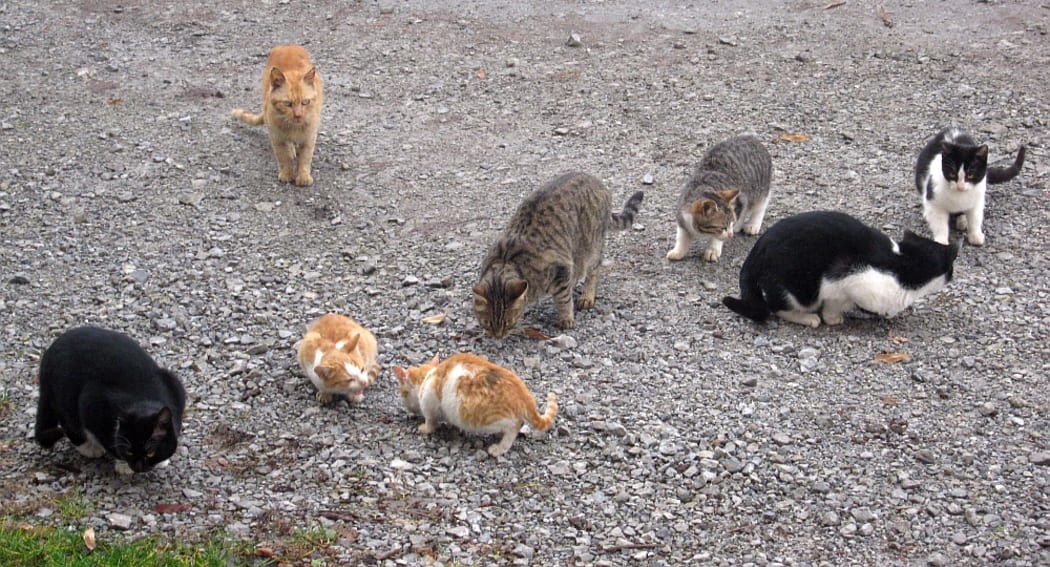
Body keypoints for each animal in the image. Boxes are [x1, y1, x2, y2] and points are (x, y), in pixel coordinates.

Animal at [34, 325, 186, 476]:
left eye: (150, 453)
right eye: (129, 451)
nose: (137, 467)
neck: (143, 399)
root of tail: (48, 356)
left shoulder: (174, 385)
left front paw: (161, 461)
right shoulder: (90, 400)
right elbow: (110, 440)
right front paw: (123, 464)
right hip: (65, 393)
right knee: (69, 423)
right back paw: (88, 447)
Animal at [232, 44, 321, 185]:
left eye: (305, 102)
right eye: (287, 103)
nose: (298, 115)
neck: (293, 127)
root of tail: (287, 45)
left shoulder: (310, 136)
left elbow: (305, 158)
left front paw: (303, 176)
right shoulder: (276, 137)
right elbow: (283, 157)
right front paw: (287, 174)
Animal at [394, 352, 558, 457]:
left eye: (402, 393)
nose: (407, 407)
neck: (427, 376)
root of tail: (524, 393)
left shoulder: (429, 403)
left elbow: (430, 422)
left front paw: (424, 428)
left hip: (492, 419)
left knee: (514, 427)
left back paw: (498, 448)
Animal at [474, 170, 638, 338]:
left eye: (508, 323)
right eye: (487, 323)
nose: (497, 336)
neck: (507, 260)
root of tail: (596, 180)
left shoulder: (560, 268)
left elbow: (563, 299)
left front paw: (566, 319)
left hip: (591, 246)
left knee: (593, 271)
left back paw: (587, 296)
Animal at [722, 209, 961, 327]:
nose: (952, 275)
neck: (902, 264)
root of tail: (756, 250)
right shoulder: (845, 280)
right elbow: (834, 304)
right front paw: (833, 318)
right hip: (796, 289)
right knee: (776, 307)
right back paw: (808, 318)